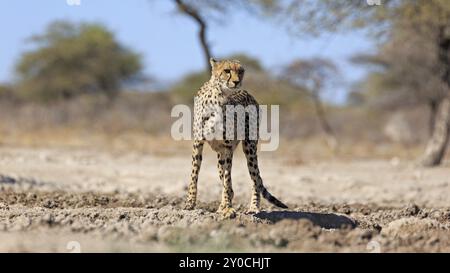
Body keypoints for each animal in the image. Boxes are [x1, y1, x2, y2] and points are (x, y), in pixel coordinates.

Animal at [184, 57, 286, 217]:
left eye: (241, 71)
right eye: (227, 71)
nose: (237, 81)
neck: (219, 94)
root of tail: (249, 94)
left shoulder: (227, 146)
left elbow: (227, 179)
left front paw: (228, 208)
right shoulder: (198, 143)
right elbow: (194, 174)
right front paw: (190, 203)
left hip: (249, 147)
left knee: (256, 178)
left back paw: (253, 207)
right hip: (220, 155)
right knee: (232, 182)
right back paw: (223, 206)